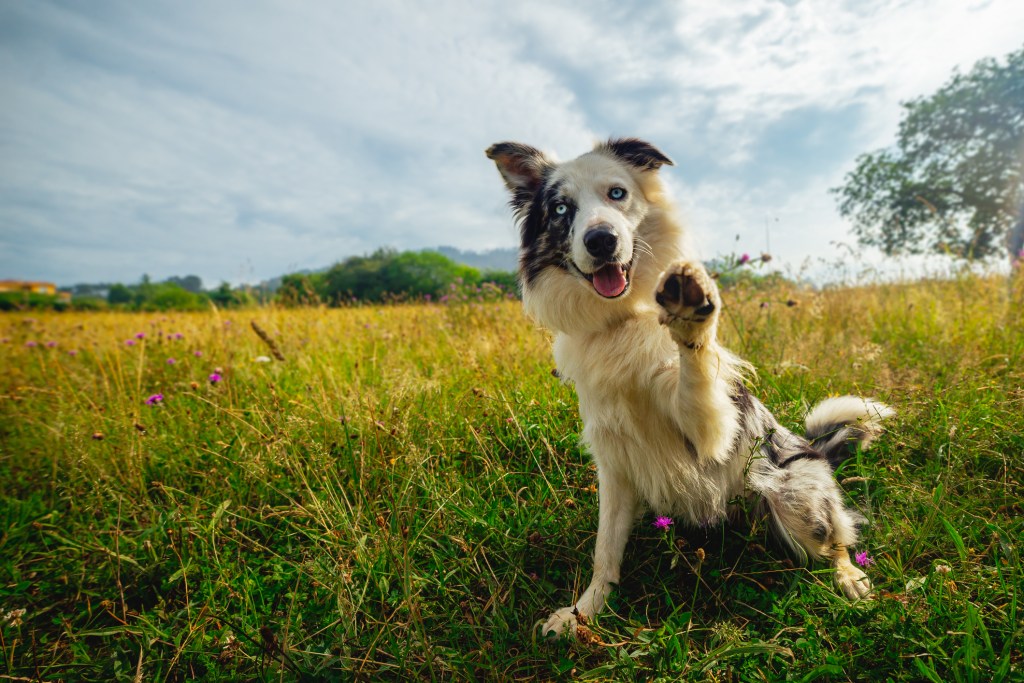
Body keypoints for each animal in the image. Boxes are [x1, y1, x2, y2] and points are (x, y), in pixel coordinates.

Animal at [483, 136, 892, 638]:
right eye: (561, 209)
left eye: (617, 193)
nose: (601, 240)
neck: (622, 321)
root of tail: (815, 450)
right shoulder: (614, 461)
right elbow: (605, 550)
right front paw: (584, 612)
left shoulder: (710, 431)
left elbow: (695, 370)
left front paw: (691, 314)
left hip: (793, 495)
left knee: (834, 540)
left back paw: (849, 576)